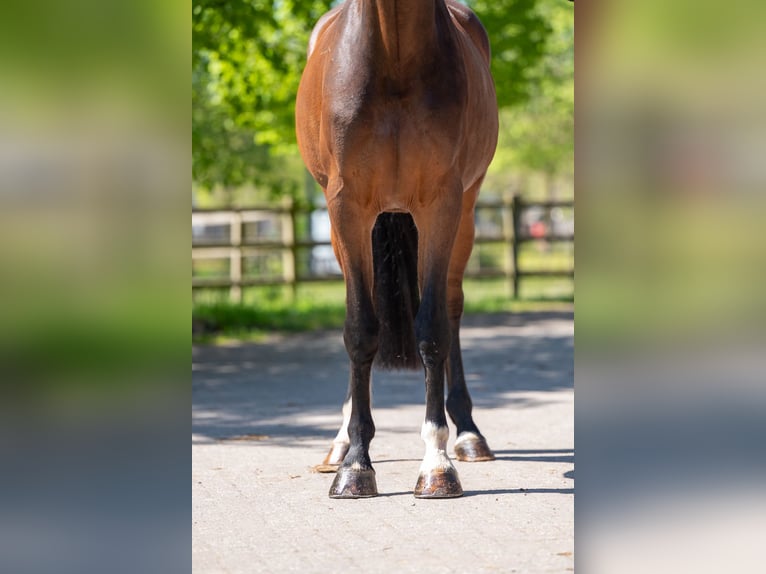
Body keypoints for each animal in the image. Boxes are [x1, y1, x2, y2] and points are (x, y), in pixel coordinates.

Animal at [295, 0, 499, 498]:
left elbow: (432, 328)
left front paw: (437, 464)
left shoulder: (441, 204)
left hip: (465, 212)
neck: (394, 56)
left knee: (451, 307)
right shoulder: (346, 207)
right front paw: (356, 464)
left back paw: (468, 432)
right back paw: (338, 445)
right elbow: (360, 329)